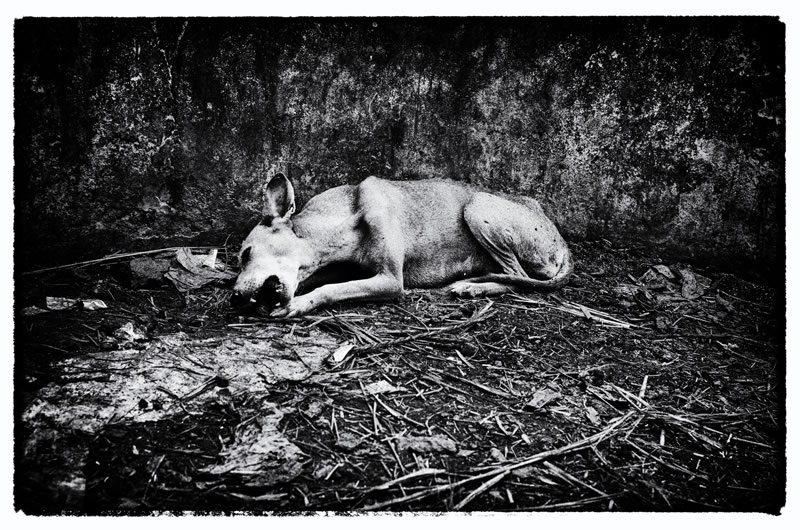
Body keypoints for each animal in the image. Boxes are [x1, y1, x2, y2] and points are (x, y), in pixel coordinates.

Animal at [228, 173, 572, 316]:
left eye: (246, 253)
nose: (234, 298)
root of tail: (563, 242)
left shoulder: (391, 280)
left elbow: (329, 290)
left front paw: (299, 304)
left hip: (478, 207)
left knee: (518, 279)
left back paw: (472, 287)